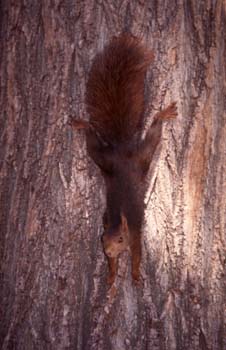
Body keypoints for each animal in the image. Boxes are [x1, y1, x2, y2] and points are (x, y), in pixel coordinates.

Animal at [70, 32, 177, 286]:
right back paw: (82, 124)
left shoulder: (136, 234)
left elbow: (137, 256)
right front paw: (110, 278)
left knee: (153, 136)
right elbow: (113, 265)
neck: (120, 221)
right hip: (103, 159)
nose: (107, 251)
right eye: (102, 239)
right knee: (91, 140)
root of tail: (121, 149)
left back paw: (163, 114)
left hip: (140, 157)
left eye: (120, 239)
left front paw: (136, 275)